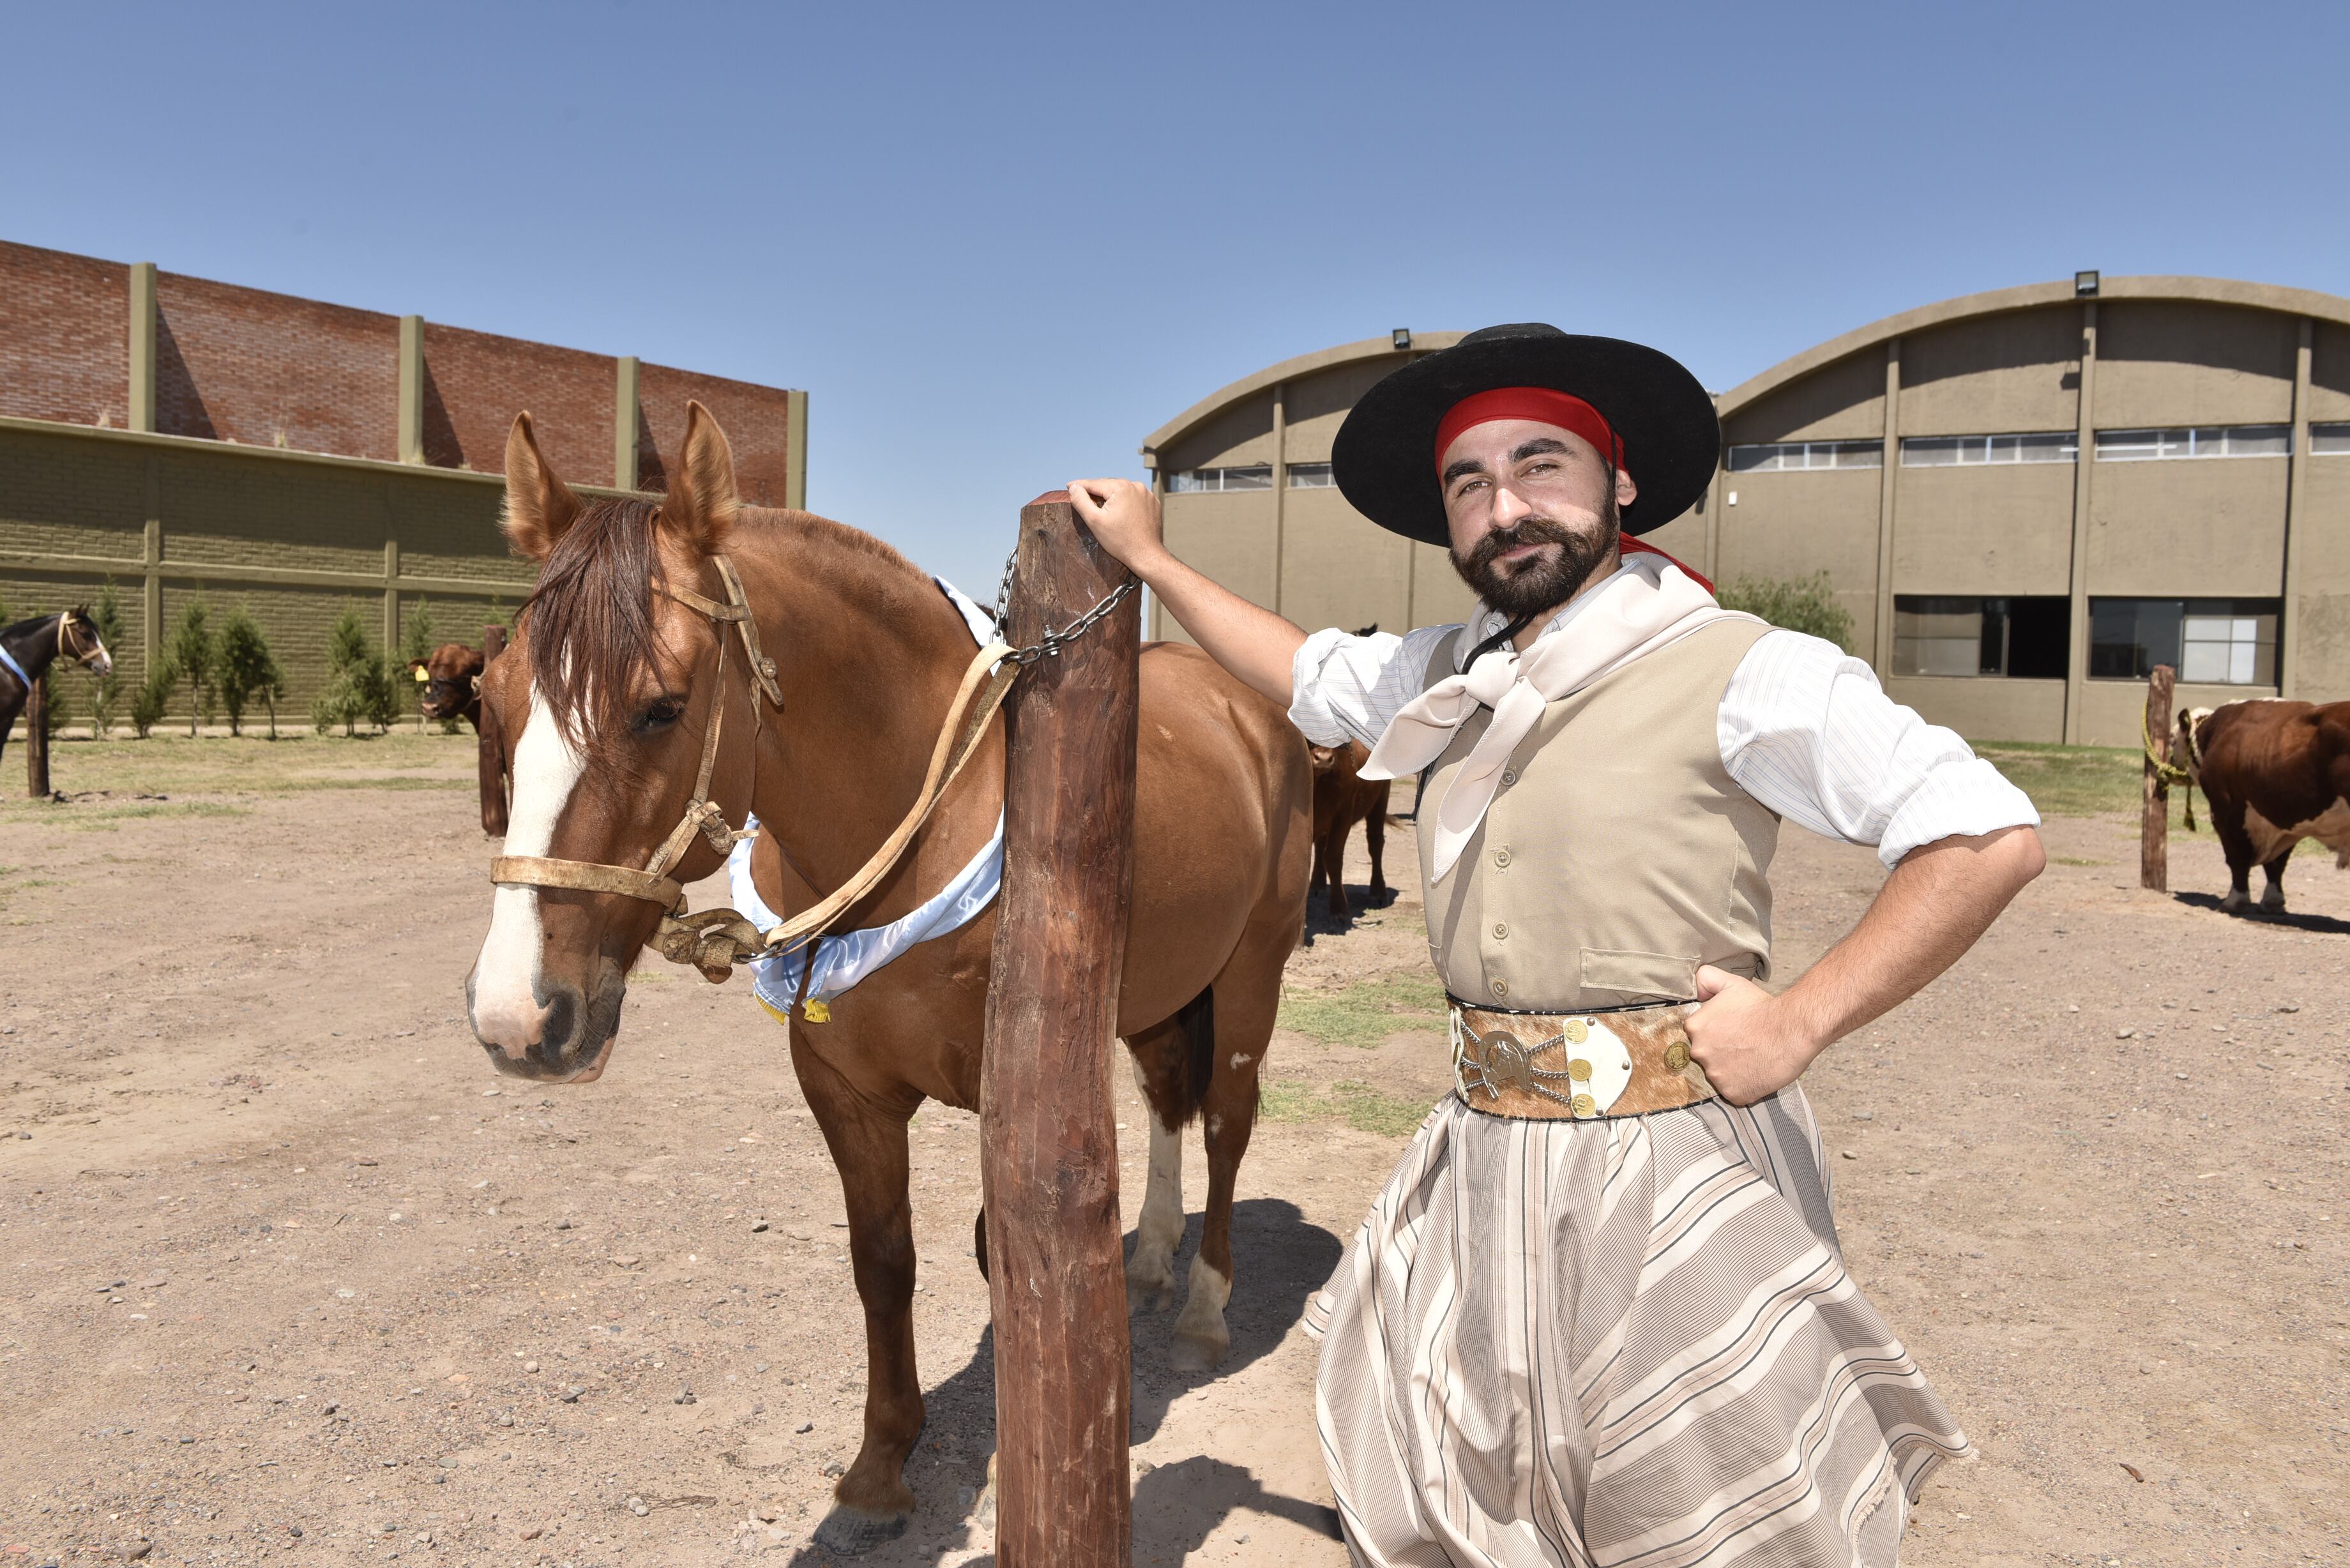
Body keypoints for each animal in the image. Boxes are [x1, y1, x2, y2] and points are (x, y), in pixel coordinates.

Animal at [458, 404, 1307, 1560]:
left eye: (661, 708)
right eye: (494, 700)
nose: (518, 1017)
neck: (919, 825)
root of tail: (1248, 706)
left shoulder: (1013, 1093)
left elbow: (1004, 1252)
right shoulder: (844, 1091)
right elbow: (883, 1261)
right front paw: (878, 1466)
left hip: (1254, 967)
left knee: (1224, 1120)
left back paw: (1205, 1305)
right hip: (1157, 994)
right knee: (1169, 1099)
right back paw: (1149, 1260)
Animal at [1307, 747, 1391, 926]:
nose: (1323, 759)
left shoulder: (1343, 814)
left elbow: (1333, 858)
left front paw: (1339, 911)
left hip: (1381, 799)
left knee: (1376, 843)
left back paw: (1378, 893)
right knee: (1320, 847)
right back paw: (1317, 886)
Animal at [2181, 700, 2350, 912]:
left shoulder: (2226, 811)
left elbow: (2236, 858)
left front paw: (2234, 901)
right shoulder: (2282, 819)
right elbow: (2277, 864)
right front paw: (2273, 902)